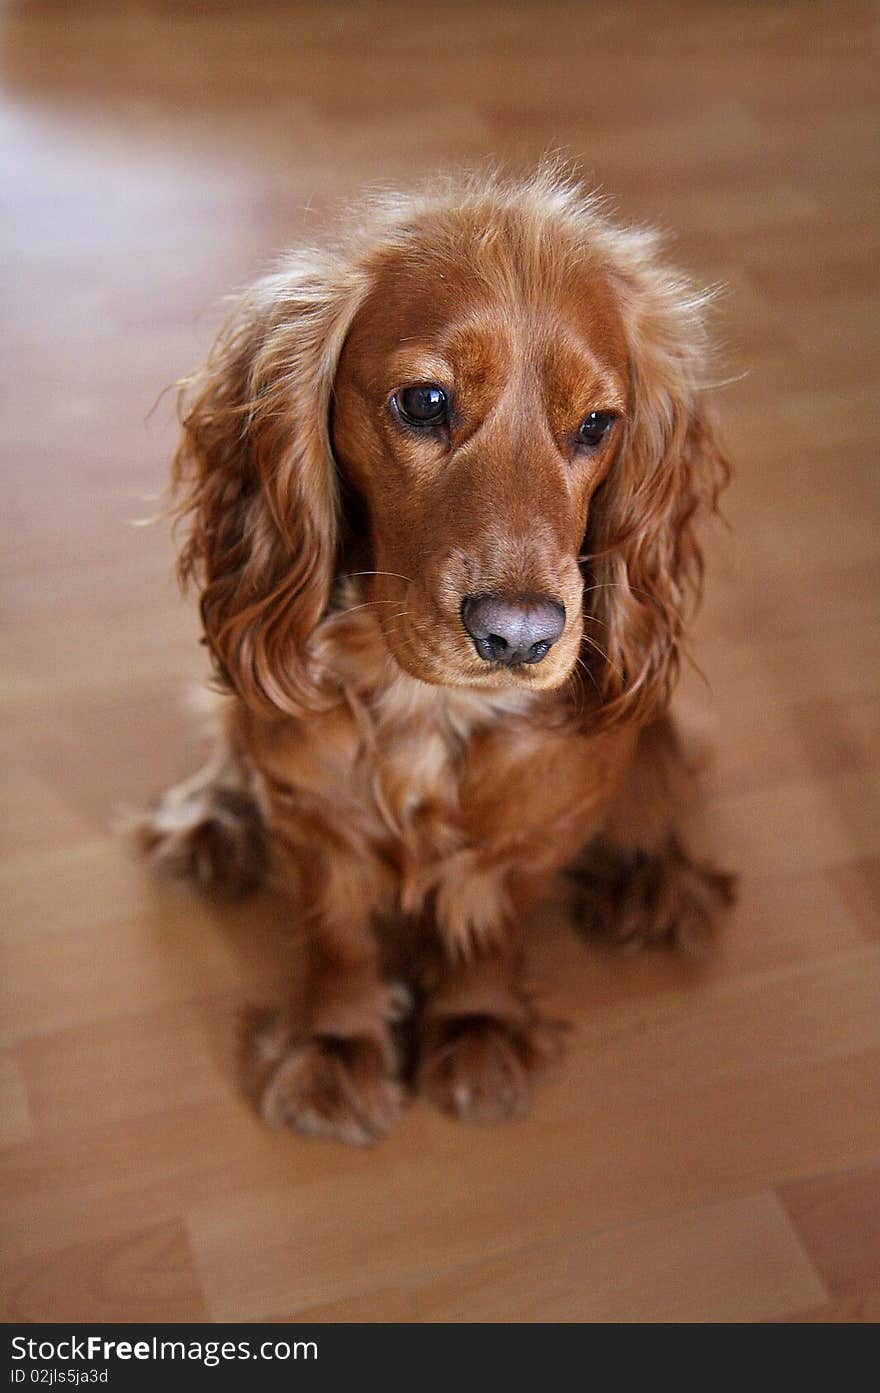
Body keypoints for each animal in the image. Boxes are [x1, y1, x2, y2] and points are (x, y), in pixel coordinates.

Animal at [130, 165, 735, 1142]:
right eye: (426, 402)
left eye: (597, 424)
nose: (519, 633)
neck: (427, 703)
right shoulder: (311, 811)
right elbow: (336, 936)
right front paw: (337, 1048)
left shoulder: (536, 826)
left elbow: (493, 925)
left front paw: (477, 1029)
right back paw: (210, 817)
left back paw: (655, 878)